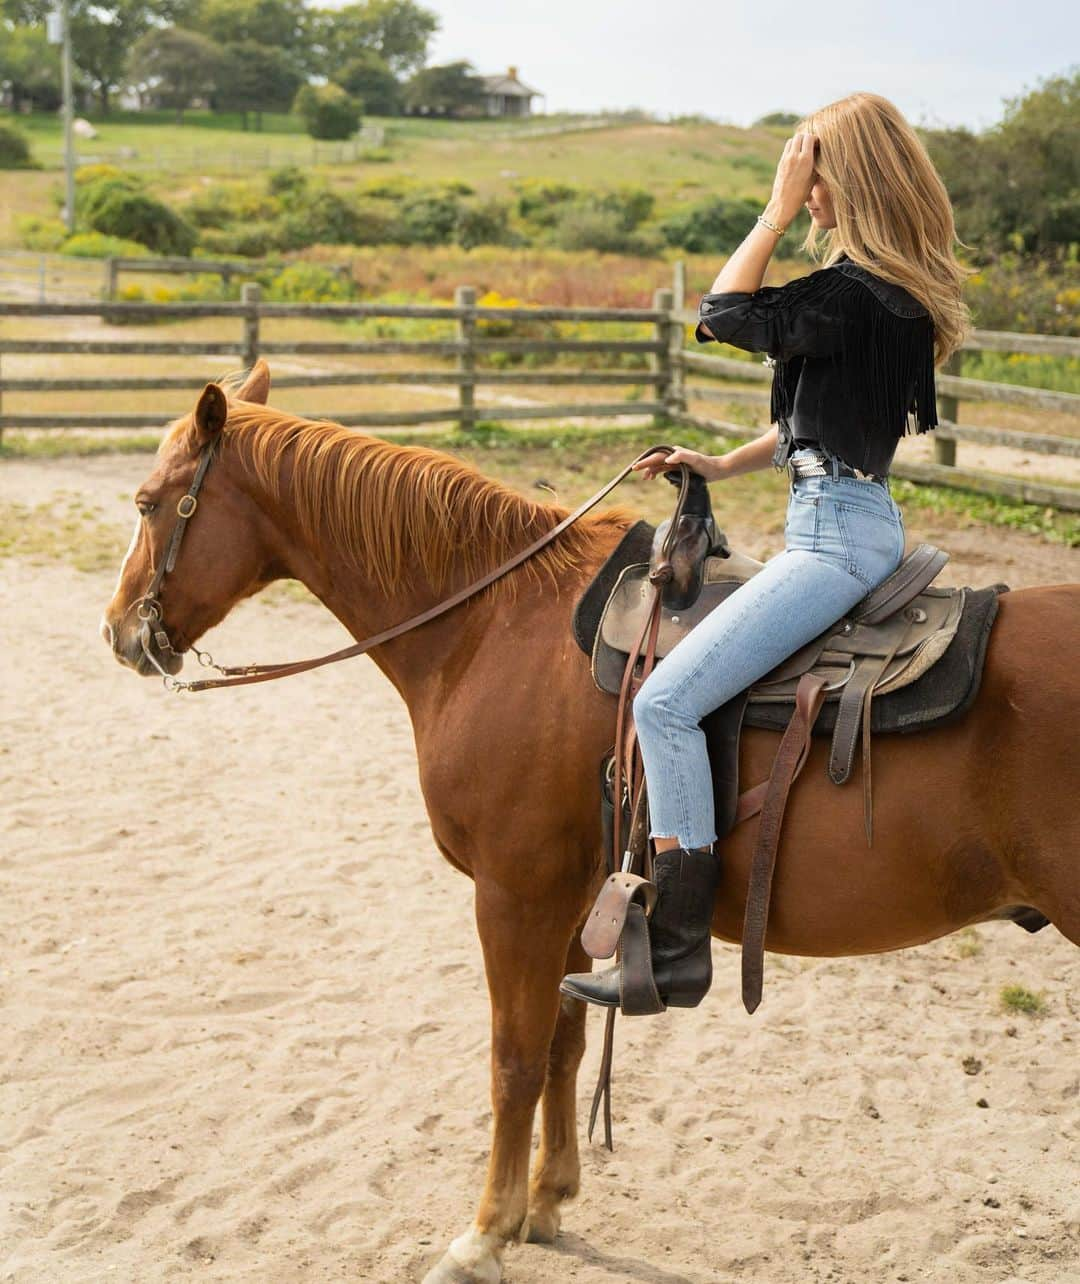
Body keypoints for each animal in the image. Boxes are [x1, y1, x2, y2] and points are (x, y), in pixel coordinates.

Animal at [103, 364, 1078, 1284]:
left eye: (149, 502)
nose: (119, 633)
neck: (493, 624)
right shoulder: (577, 899)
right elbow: (565, 1046)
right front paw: (546, 1203)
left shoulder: (515, 896)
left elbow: (514, 1059)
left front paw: (483, 1234)